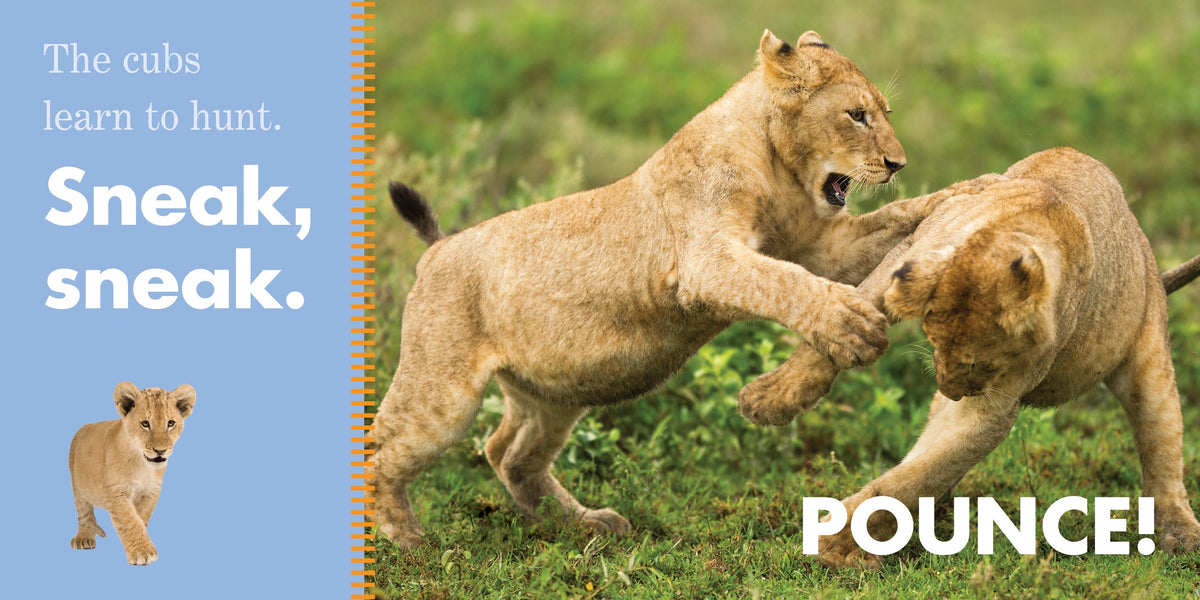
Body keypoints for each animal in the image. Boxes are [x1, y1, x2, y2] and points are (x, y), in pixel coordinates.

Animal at [68, 382, 196, 565]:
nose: (160, 451)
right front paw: (142, 551)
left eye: (171, 423)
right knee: (84, 511)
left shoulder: (152, 491)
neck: (142, 465)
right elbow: (130, 520)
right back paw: (84, 537)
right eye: (145, 424)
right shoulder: (116, 491)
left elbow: (140, 519)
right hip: (77, 485)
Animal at [372, 29, 970, 548]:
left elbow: (889, 220)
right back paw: (408, 540)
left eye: (883, 114)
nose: (898, 163)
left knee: (507, 453)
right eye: (857, 115)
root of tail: (436, 250)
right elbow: (783, 283)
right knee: (383, 445)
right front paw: (850, 328)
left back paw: (582, 522)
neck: (779, 172)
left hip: (553, 394)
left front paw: (955, 196)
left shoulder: (821, 247)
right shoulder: (709, 262)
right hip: (442, 392)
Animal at [738, 147, 1200, 567]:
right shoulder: (900, 261)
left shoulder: (994, 404)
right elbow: (829, 337)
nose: (950, 390)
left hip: (1150, 354)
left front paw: (836, 544)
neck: (1016, 236)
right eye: (932, 339)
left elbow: (922, 471)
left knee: (1162, 448)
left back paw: (1180, 534)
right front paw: (766, 401)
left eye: (983, 364)